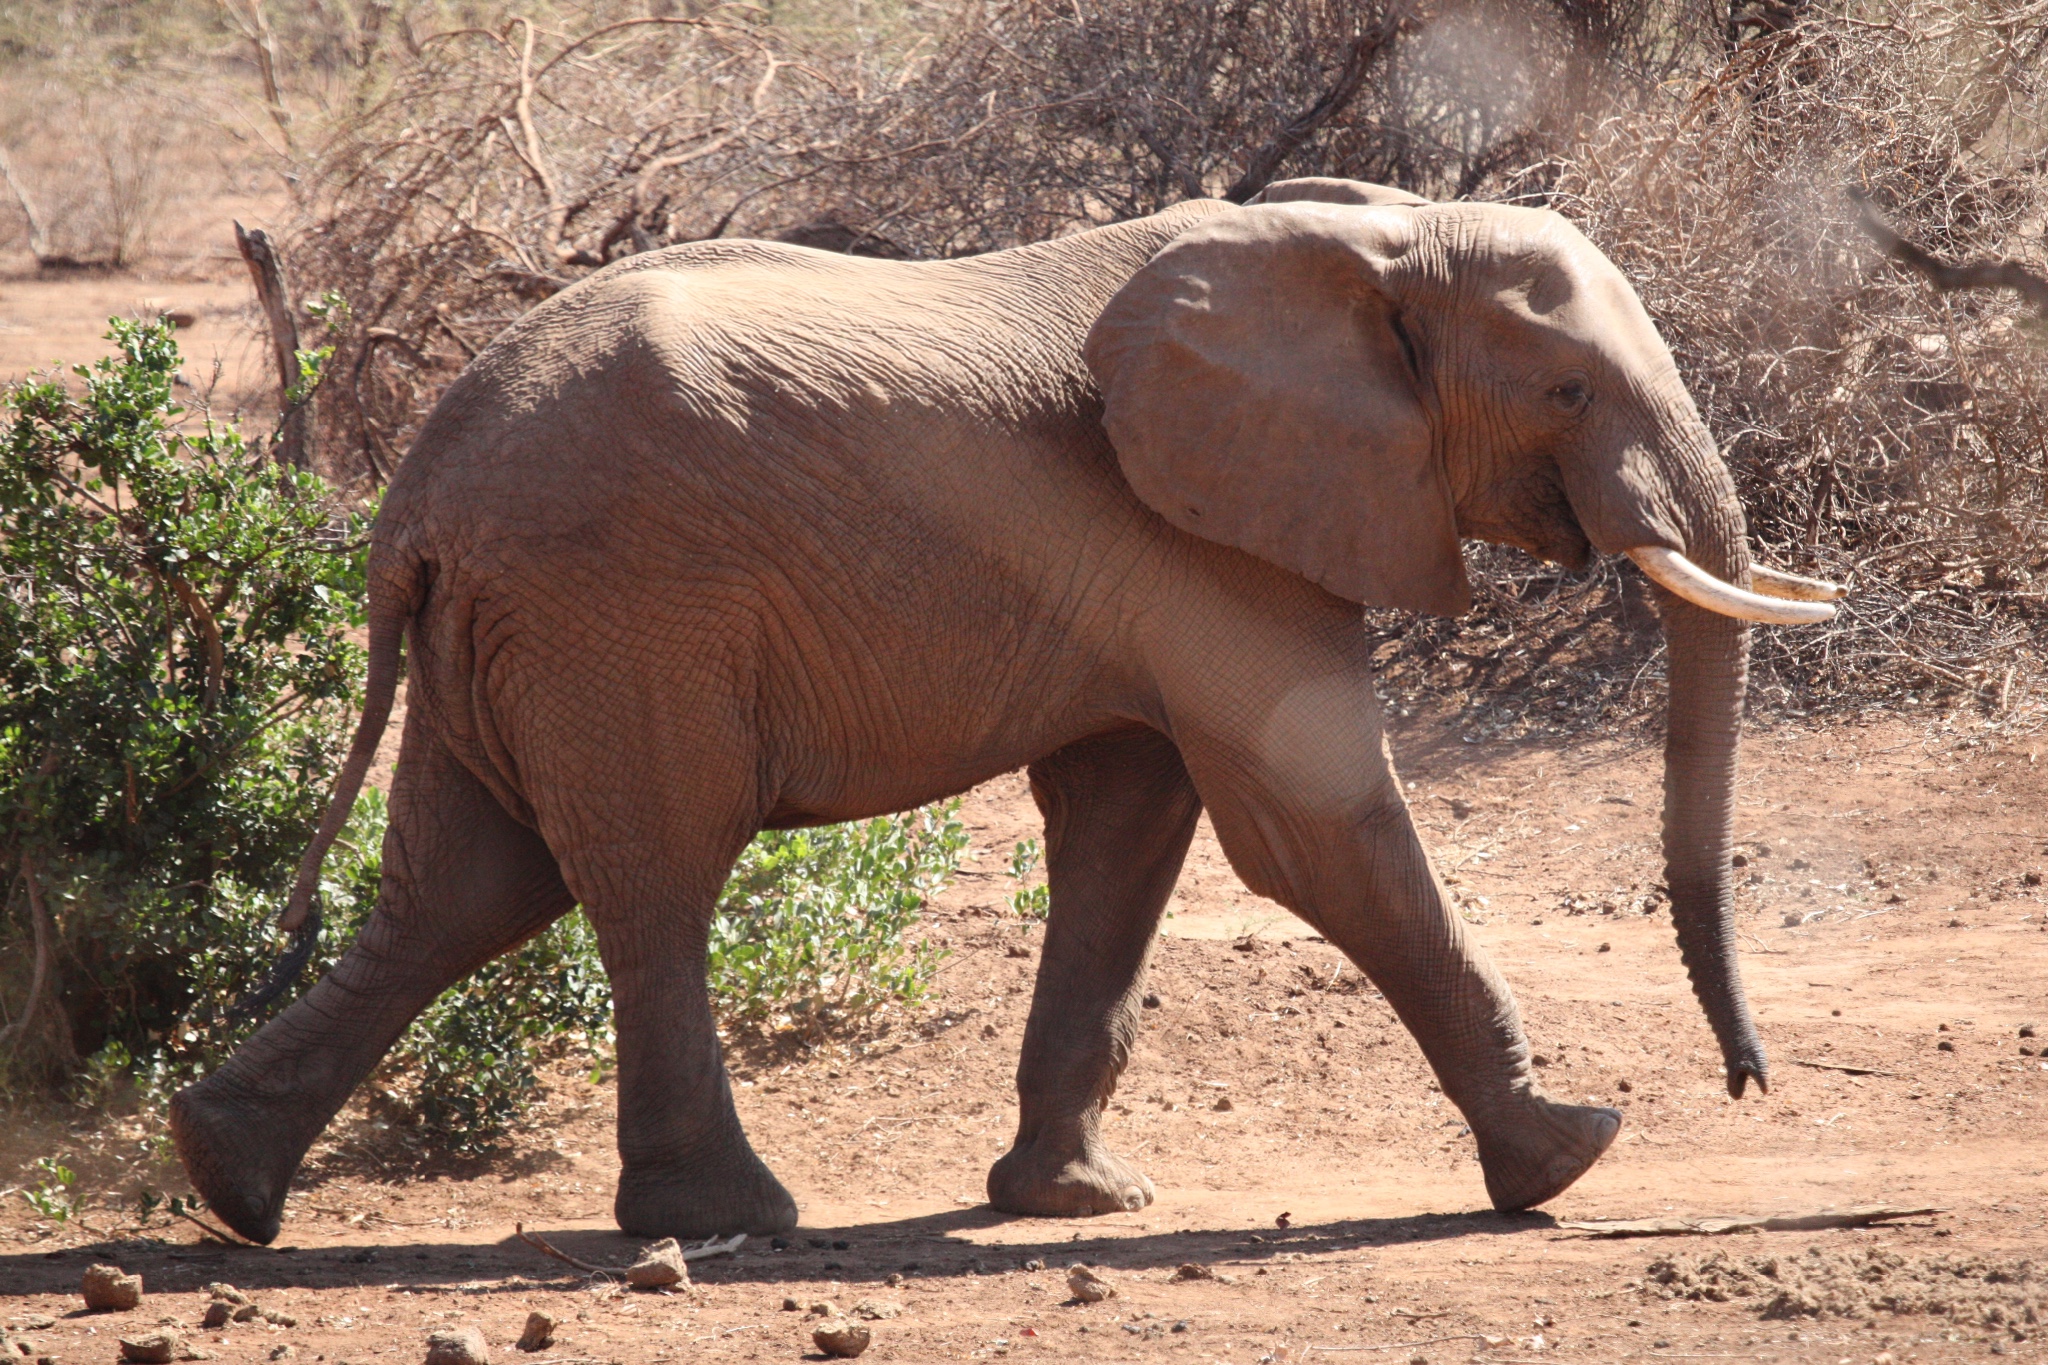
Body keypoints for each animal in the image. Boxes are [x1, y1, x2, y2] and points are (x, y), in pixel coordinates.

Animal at [167, 175, 1851, 1244]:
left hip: (517, 632)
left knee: (459, 891)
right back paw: (736, 1225)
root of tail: (410, 506)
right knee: (649, 880)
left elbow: (1128, 820)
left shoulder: (1166, 555)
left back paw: (228, 1185)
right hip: (618, 618)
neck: (1369, 239)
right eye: (1569, 395)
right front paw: (1571, 1153)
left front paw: (1076, 1204)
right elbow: (1313, 829)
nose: (1749, 1080)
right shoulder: (1207, 537)